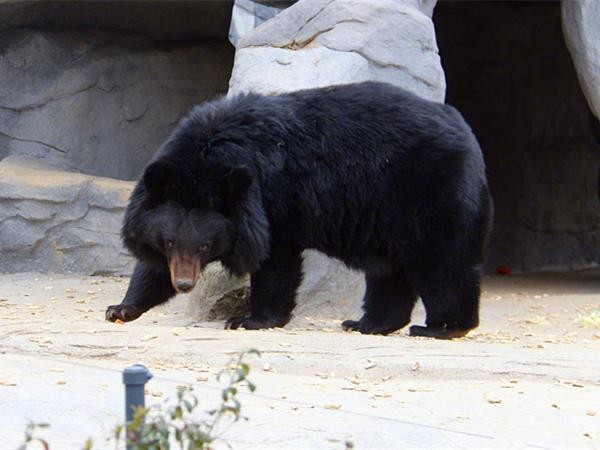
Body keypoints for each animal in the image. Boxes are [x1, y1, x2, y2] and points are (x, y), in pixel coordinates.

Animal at [106, 82, 492, 340]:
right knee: (390, 269)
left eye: (205, 246)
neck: (208, 156)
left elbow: (276, 261)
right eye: (169, 241)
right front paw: (121, 308)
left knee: (443, 262)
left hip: (429, 191)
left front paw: (250, 320)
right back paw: (368, 323)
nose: (185, 283)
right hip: (389, 213)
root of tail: (465, 130)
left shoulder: (273, 198)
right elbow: (151, 266)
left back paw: (441, 327)